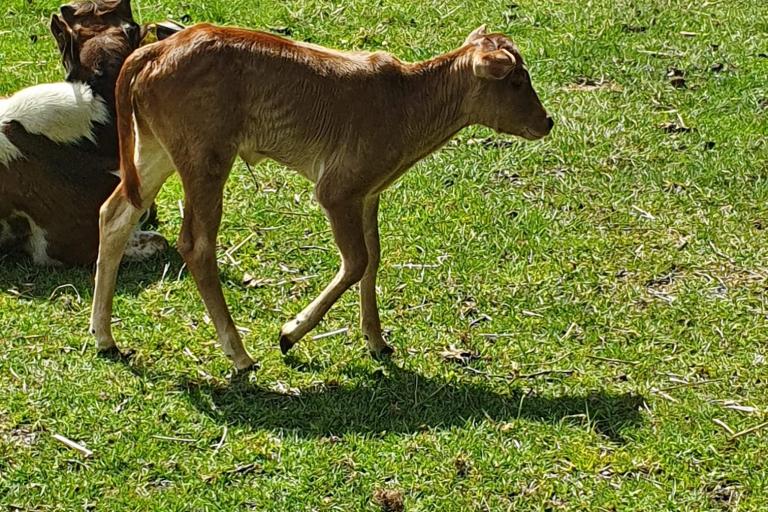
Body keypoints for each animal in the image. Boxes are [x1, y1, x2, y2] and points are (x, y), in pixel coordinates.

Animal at [90, 24, 552, 370]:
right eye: (517, 80)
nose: (547, 122)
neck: (405, 104)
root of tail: (154, 51)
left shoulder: (368, 193)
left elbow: (374, 257)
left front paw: (376, 339)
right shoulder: (337, 190)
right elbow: (357, 260)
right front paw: (290, 333)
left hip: (156, 149)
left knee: (115, 213)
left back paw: (104, 336)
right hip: (205, 156)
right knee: (196, 244)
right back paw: (239, 354)